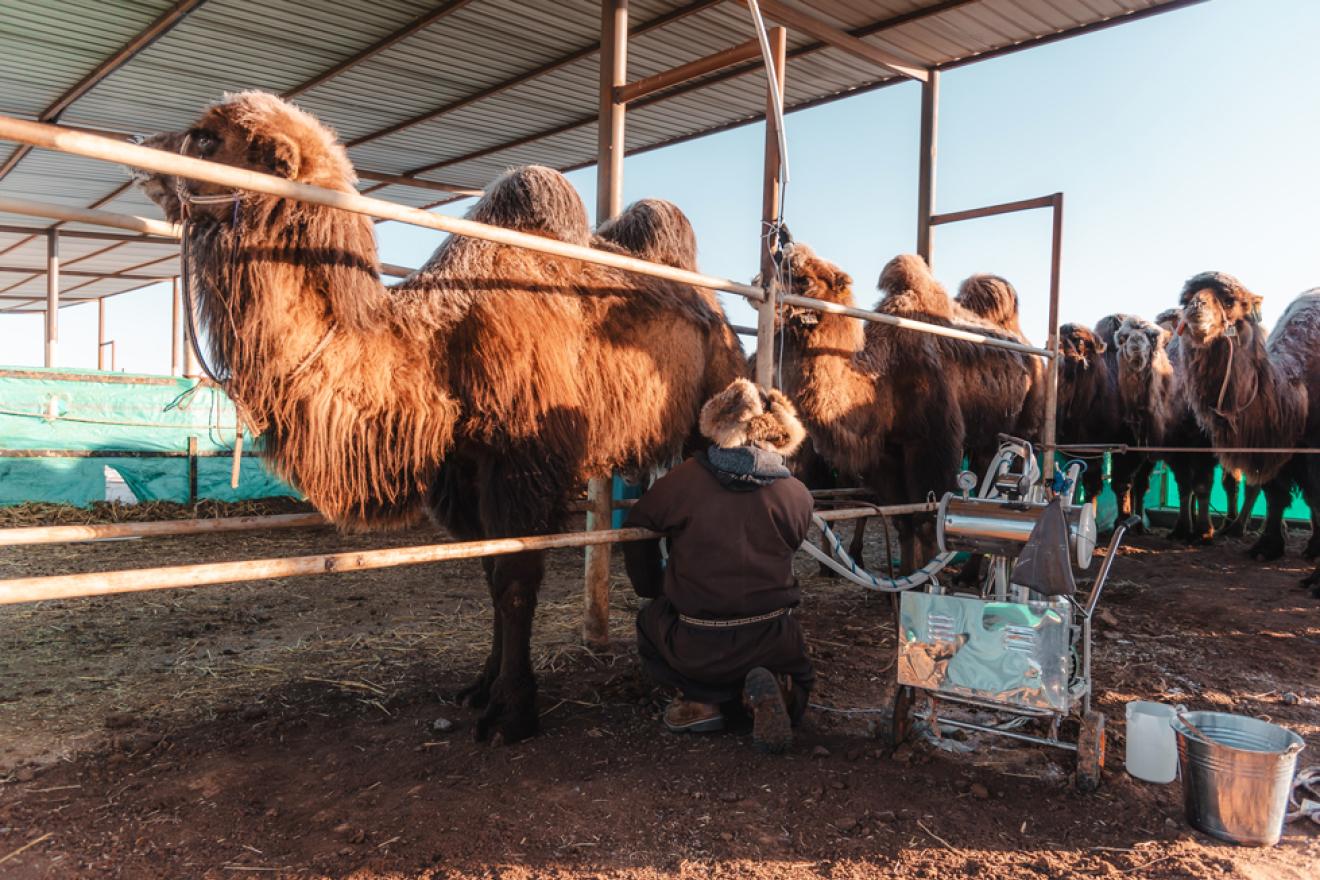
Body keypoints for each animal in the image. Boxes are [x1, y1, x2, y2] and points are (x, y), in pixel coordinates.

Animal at [141, 93, 755, 738]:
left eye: (206, 138)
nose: (144, 150)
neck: (436, 349)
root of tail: (716, 308)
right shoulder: (460, 471)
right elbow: (487, 574)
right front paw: (481, 687)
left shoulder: (521, 463)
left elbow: (514, 581)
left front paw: (512, 711)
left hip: (712, 400)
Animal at [770, 242, 1040, 572]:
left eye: (805, 279)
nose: (759, 286)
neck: (882, 378)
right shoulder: (887, 454)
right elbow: (903, 521)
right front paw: (903, 580)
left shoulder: (932, 445)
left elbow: (927, 520)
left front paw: (923, 579)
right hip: (984, 437)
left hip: (1023, 428)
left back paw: (969, 574)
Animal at [1177, 271, 1320, 580]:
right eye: (1185, 298)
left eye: (1229, 300)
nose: (1195, 306)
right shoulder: (1279, 447)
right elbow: (1275, 493)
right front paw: (1266, 547)